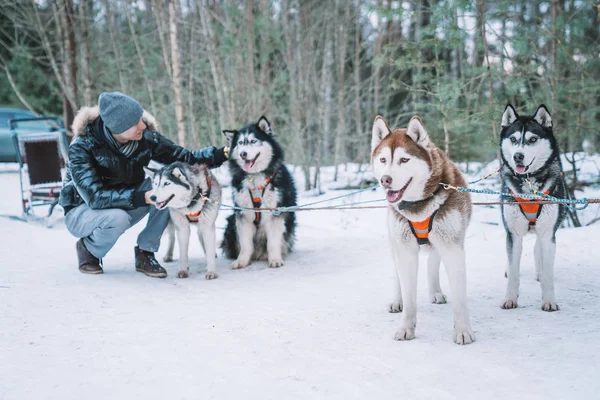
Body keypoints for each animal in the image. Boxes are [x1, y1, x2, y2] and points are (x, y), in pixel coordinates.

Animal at [219, 117, 296, 270]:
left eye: (253, 141)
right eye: (240, 143)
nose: (243, 154)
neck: (255, 177)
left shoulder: (275, 212)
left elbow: (273, 242)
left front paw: (275, 259)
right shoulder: (243, 213)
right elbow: (245, 244)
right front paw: (242, 260)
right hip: (231, 223)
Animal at [370, 115, 474, 344]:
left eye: (404, 160)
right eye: (383, 160)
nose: (385, 180)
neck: (418, 205)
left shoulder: (452, 248)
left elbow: (460, 299)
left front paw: (463, 330)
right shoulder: (406, 250)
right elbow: (409, 296)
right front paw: (406, 327)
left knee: (433, 262)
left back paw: (435, 292)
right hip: (395, 243)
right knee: (397, 274)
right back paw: (396, 300)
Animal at [500, 105, 564, 312]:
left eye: (533, 139)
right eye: (513, 139)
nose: (517, 156)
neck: (529, 183)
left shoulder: (548, 233)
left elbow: (548, 273)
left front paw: (549, 300)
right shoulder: (513, 233)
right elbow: (513, 270)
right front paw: (510, 298)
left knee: (538, 250)